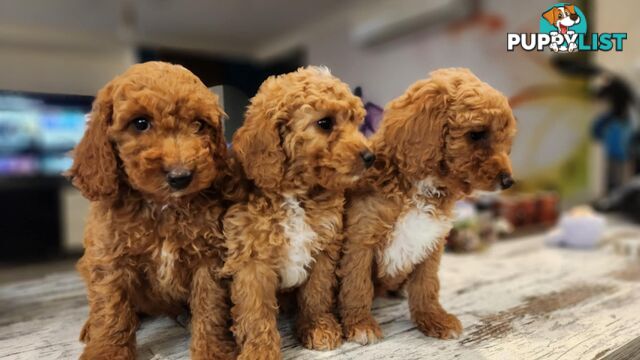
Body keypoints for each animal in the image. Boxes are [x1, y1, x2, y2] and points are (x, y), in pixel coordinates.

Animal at [67, 62, 235, 360]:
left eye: (199, 125)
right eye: (140, 123)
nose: (181, 176)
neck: (162, 205)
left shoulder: (209, 258)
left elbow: (210, 307)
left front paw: (211, 350)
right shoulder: (110, 259)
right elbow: (110, 310)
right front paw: (106, 351)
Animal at [224, 66, 376, 358]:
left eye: (356, 122)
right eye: (325, 123)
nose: (369, 157)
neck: (295, 194)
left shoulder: (323, 247)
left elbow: (316, 294)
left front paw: (317, 327)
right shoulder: (252, 259)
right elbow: (256, 311)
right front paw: (260, 349)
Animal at [338, 68, 516, 346]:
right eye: (476, 134)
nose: (508, 181)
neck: (423, 186)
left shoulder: (431, 242)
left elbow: (426, 285)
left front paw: (434, 319)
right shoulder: (361, 239)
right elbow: (357, 285)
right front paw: (361, 325)